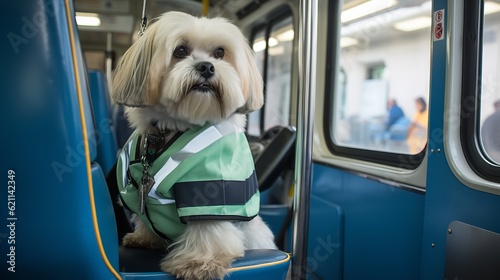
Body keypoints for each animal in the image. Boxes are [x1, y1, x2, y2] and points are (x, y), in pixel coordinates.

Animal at [111, 11, 278, 280]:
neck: (170, 131)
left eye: (220, 53)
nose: (207, 66)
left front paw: (200, 263)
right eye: (180, 50)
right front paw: (145, 237)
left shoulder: (209, 187)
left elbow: (208, 226)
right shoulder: (136, 189)